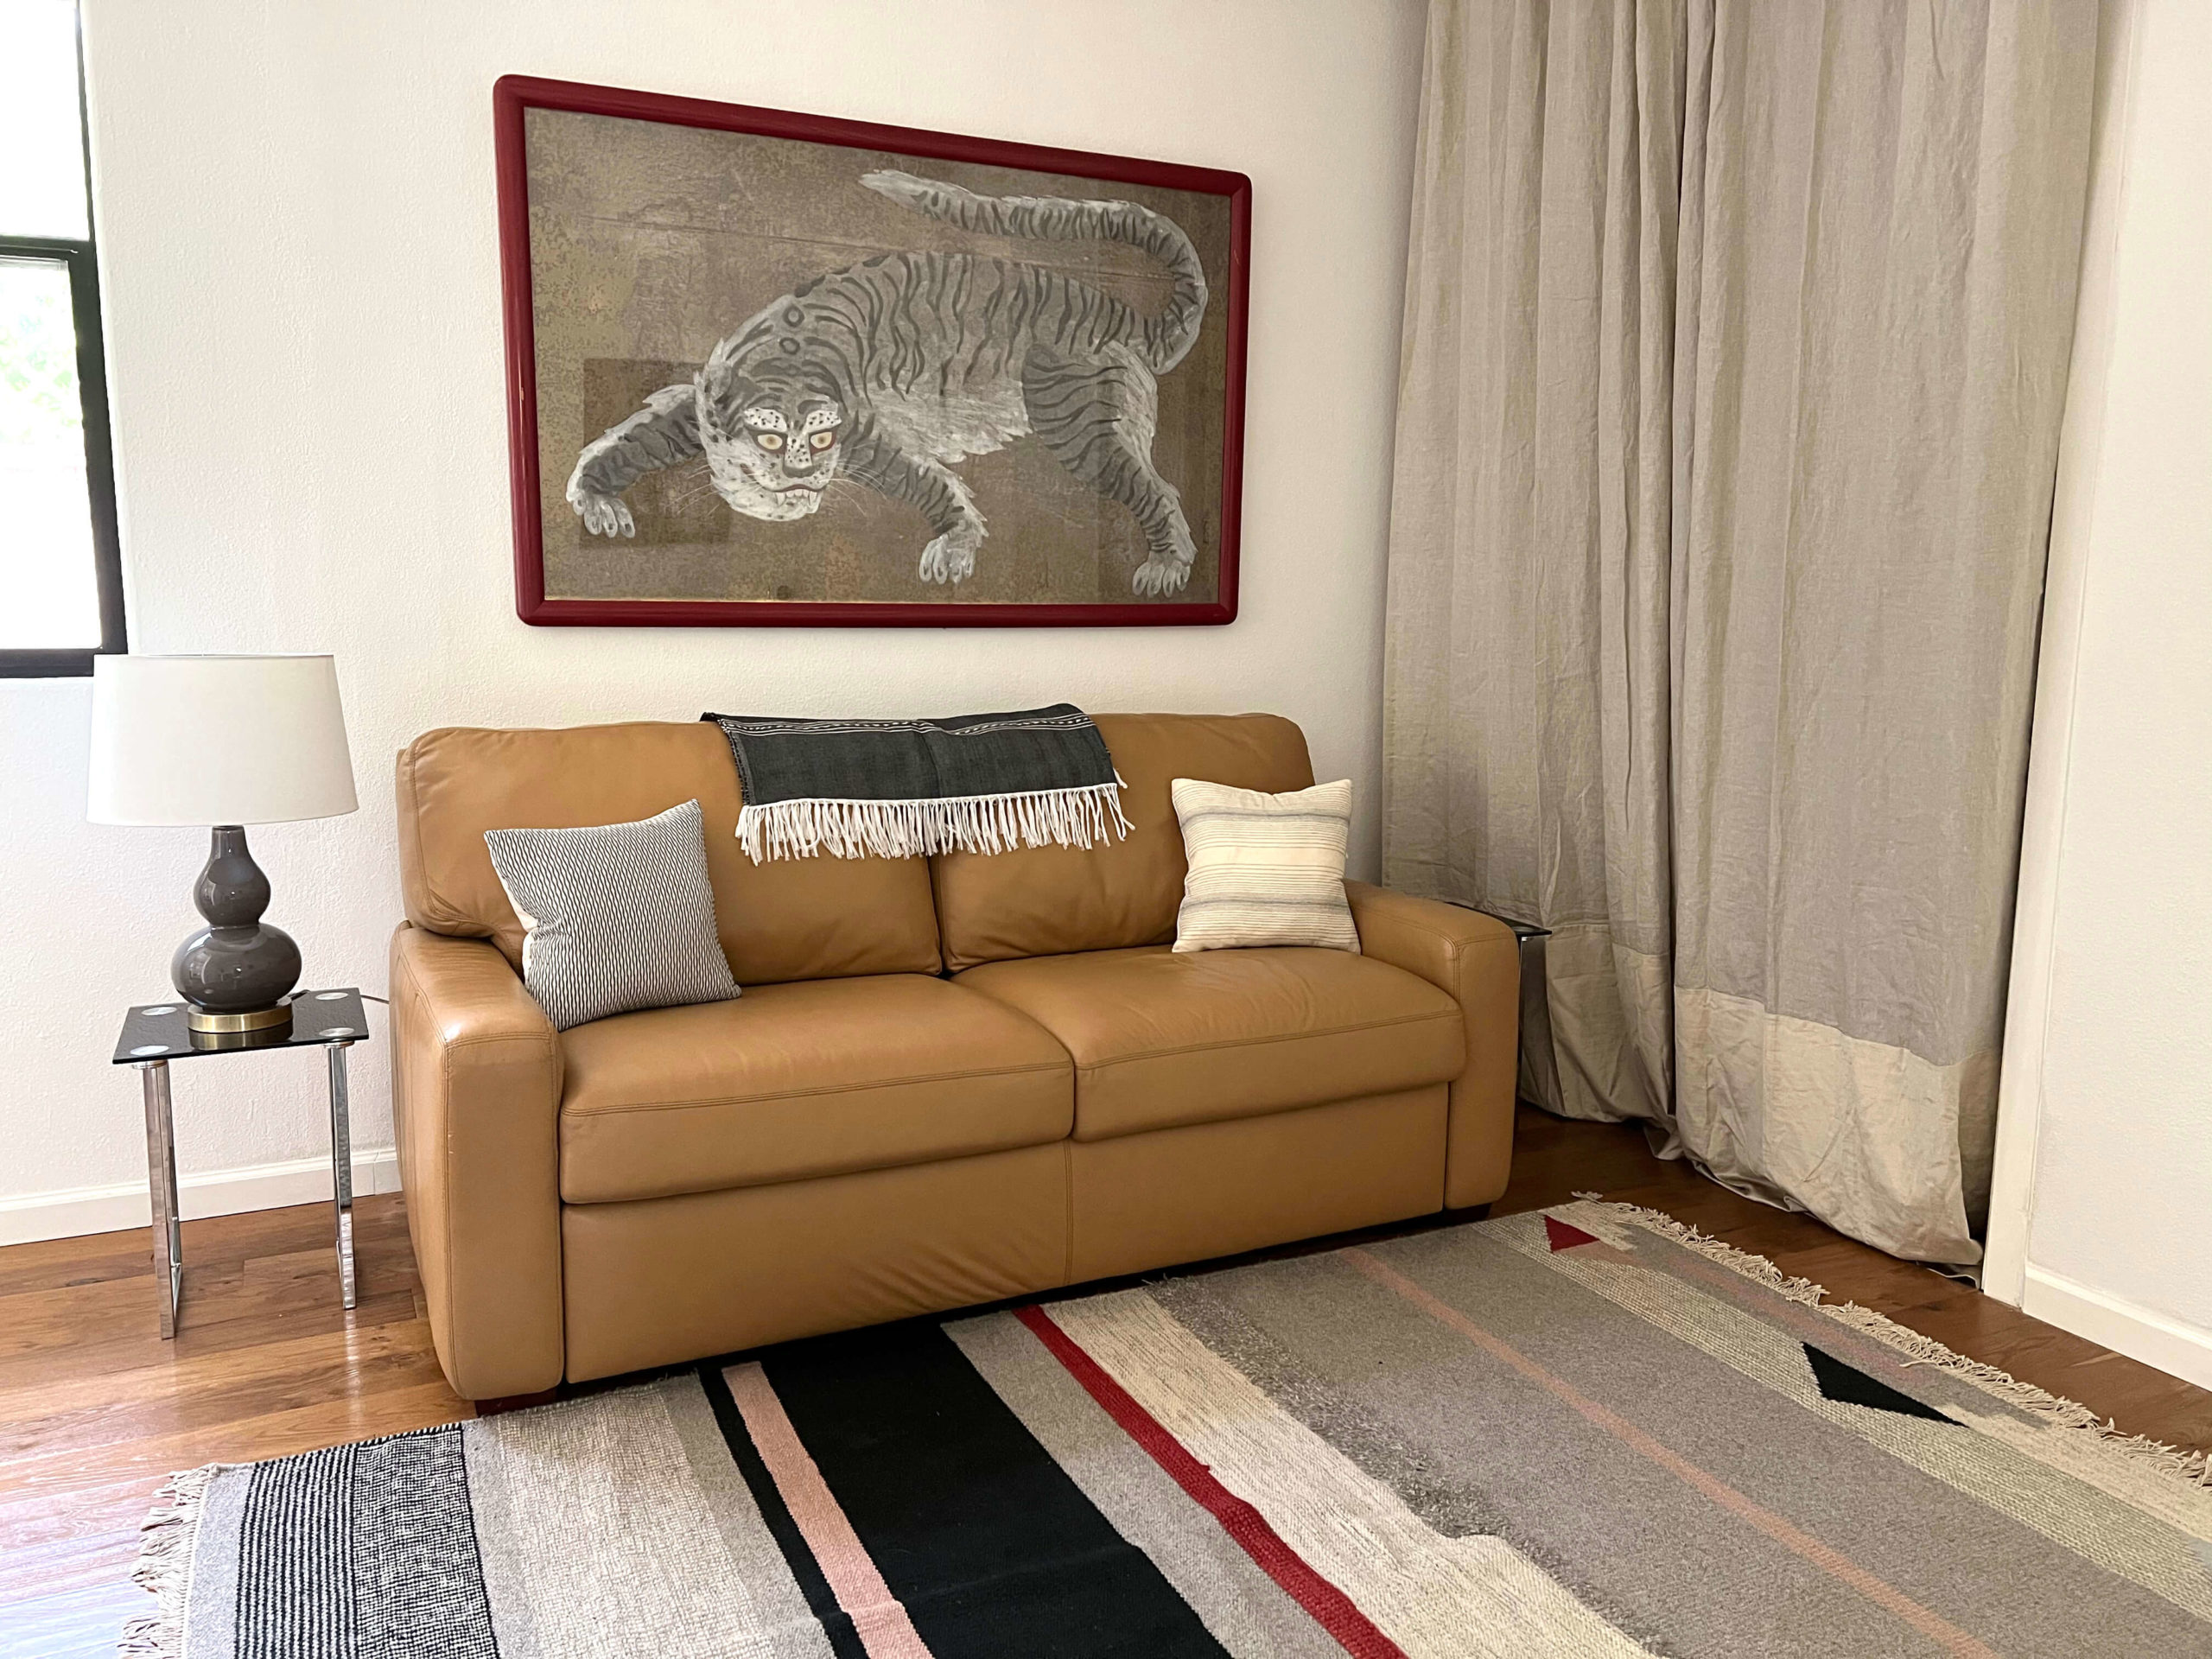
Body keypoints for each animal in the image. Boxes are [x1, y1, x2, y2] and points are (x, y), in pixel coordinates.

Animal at [562, 168, 1203, 593]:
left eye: (822, 437)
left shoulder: (869, 442)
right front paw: (595, 496)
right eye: (770, 437)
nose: (802, 471)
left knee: (1159, 491)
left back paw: (1168, 563)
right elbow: (633, 438)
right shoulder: (693, 409)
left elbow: (936, 486)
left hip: (1077, 418)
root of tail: (1113, 310)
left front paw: (953, 545)